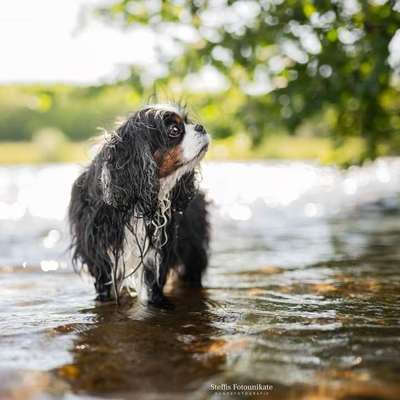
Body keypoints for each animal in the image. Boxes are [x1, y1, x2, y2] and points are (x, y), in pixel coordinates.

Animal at [69, 104, 211, 308]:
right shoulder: (98, 251)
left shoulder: (160, 247)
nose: (201, 127)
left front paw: (158, 302)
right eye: (174, 130)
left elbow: (155, 281)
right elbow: (104, 281)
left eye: (188, 122)